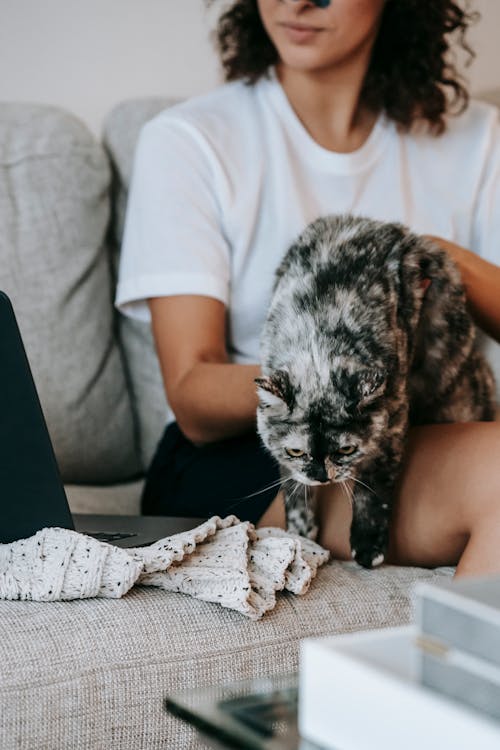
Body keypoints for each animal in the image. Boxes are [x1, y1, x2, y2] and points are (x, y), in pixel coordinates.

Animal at [256, 214, 498, 568]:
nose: (322, 477)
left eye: (346, 449)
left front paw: (368, 544)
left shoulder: (392, 416)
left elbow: (373, 484)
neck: (317, 346)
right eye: (296, 451)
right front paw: (300, 531)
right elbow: (292, 483)